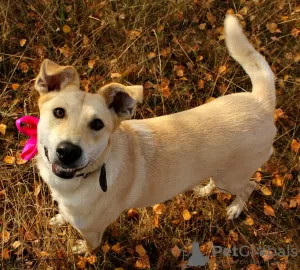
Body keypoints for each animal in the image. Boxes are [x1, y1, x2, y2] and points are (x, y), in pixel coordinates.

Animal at [34, 14, 276, 254]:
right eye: (58, 112)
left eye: (97, 124)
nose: (68, 152)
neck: (84, 177)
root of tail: (261, 102)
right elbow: (64, 214)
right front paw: (60, 218)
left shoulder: (93, 231)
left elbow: (90, 246)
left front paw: (81, 250)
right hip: (220, 172)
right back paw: (205, 190)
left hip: (232, 178)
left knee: (250, 186)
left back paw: (235, 208)